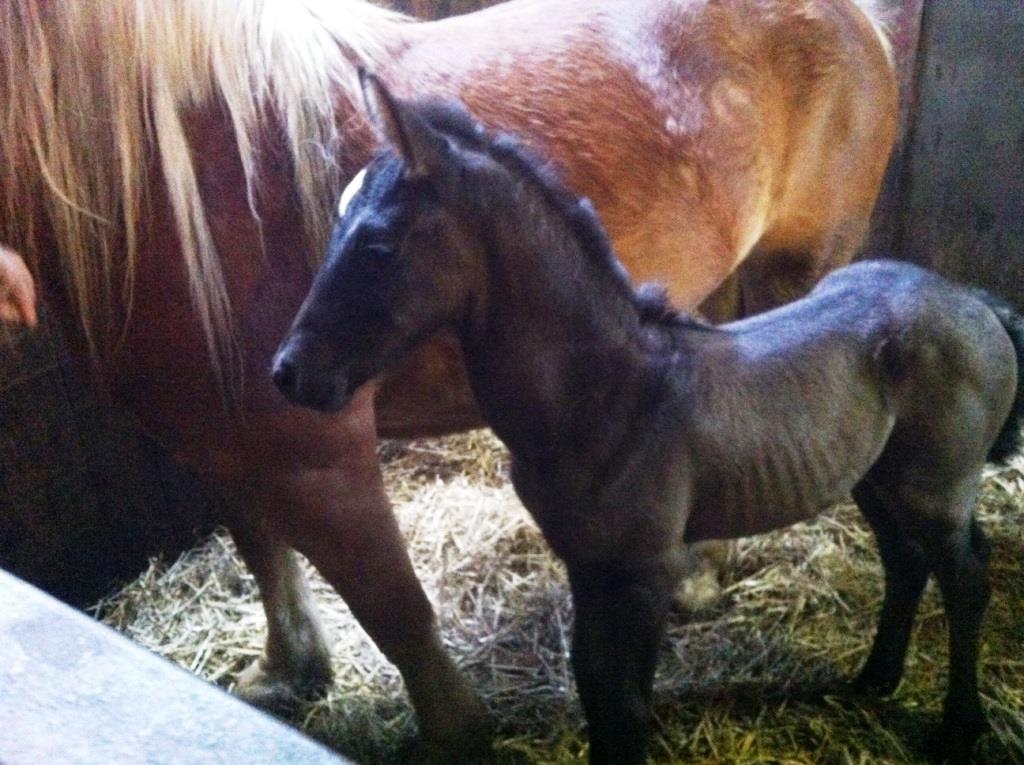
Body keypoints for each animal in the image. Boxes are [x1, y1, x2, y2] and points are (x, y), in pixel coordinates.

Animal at [0, 0, 897, 757]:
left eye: (378, 248)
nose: (293, 367)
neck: (183, 172)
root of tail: (854, 20)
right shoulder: (213, 439)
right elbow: (263, 551)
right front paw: (288, 672)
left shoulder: (315, 456)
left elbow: (392, 606)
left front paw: (453, 734)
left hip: (793, 273)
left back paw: (702, 573)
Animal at [274, 77, 1024, 765]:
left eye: (378, 247)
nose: (288, 372)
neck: (604, 396)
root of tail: (976, 303)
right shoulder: (589, 563)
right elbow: (597, 686)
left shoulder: (643, 572)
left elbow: (625, 701)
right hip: (875, 478)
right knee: (905, 564)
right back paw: (874, 679)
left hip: (936, 489)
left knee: (965, 578)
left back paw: (960, 726)